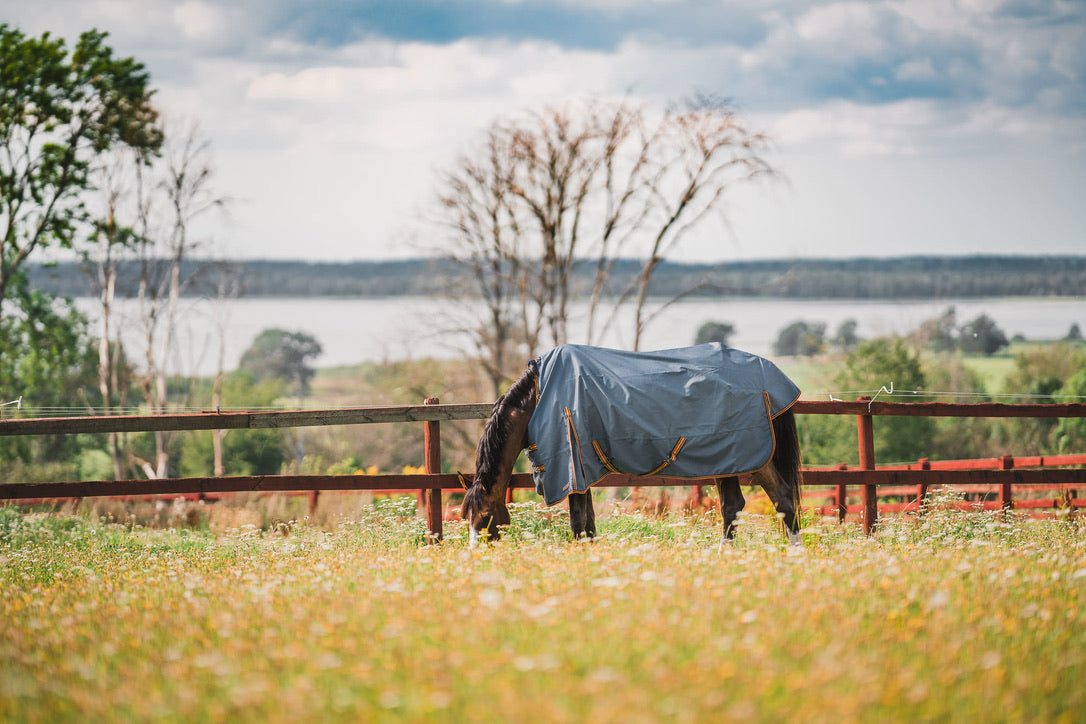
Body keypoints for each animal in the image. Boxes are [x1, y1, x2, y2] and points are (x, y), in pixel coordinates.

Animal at [462, 343, 803, 547]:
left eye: (484, 518)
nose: (476, 559)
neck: (539, 396)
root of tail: (771, 376)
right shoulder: (582, 471)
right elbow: (589, 523)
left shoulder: (571, 468)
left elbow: (577, 522)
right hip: (733, 460)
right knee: (776, 501)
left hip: (743, 455)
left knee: (744, 506)